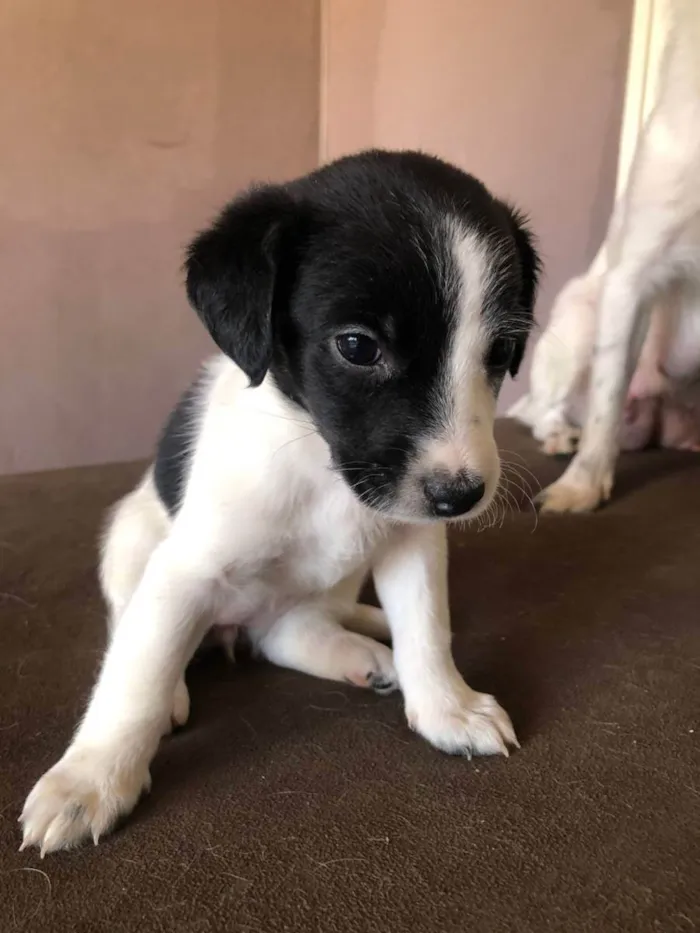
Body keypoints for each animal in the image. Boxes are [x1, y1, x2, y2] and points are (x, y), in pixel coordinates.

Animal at [20, 151, 536, 852]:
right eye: (358, 346)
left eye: (501, 351)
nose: (460, 496)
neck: (318, 461)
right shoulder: (185, 571)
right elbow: (136, 679)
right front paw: (91, 779)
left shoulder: (412, 539)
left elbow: (428, 630)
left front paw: (446, 706)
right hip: (130, 537)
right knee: (131, 625)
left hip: (327, 587)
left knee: (287, 633)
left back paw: (365, 644)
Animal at [508, 0, 700, 512]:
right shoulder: (634, 276)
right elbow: (606, 404)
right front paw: (583, 487)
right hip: (579, 318)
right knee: (540, 410)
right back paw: (559, 435)